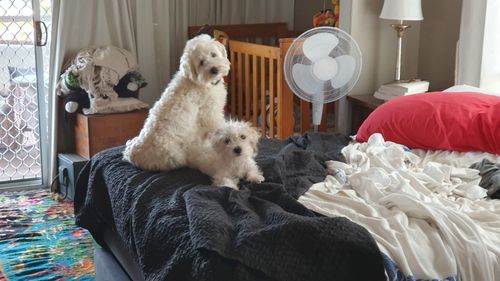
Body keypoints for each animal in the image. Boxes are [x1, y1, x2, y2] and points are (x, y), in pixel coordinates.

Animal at [123, 35, 230, 171]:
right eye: (201, 62)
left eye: (213, 54)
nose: (214, 69)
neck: (197, 81)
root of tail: (134, 156)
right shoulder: (210, 114)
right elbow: (218, 126)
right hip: (175, 155)